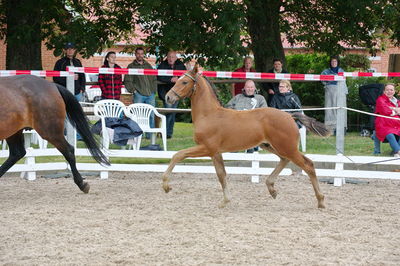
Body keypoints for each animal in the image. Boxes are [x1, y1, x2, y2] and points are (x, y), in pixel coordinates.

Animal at [162, 64, 332, 208]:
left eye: (184, 82)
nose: (168, 97)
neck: (209, 114)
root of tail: (289, 116)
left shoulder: (206, 148)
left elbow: (178, 155)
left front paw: (166, 186)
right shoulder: (215, 153)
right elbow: (221, 175)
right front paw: (225, 201)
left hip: (287, 148)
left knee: (308, 165)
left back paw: (321, 201)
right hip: (271, 146)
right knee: (285, 160)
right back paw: (272, 188)